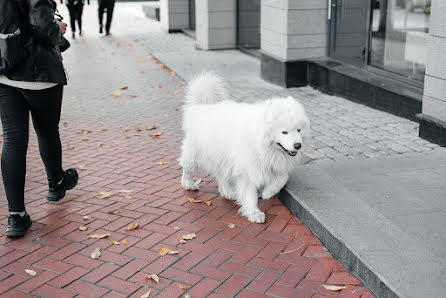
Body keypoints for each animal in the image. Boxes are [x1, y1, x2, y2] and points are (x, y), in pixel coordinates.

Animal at [178, 73, 310, 224]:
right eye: (284, 132)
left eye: (299, 130)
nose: (298, 145)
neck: (262, 144)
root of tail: (200, 106)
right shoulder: (247, 171)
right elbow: (250, 195)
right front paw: (254, 213)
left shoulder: (273, 165)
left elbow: (282, 179)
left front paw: (267, 193)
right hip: (197, 153)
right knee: (187, 167)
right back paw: (188, 184)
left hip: (222, 157)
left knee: (221, 175)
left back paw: (227, 192)